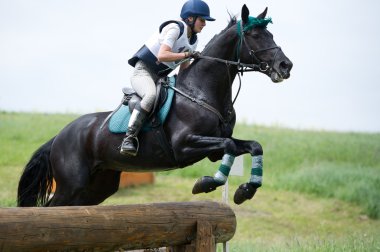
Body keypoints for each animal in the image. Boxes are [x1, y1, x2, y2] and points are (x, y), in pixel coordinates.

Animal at [16, 4, 292, 208]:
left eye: (271, 34)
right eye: (255, 36)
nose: (285, 66)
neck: (201, 92)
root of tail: (58, 136)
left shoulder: (214, 147)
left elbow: (252, 146)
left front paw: (245, 190)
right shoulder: (184, 145)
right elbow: (229, 147)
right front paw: (205, 183)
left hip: (97, 185)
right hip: (73, 183)